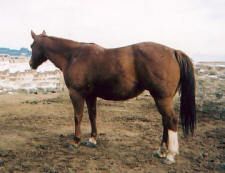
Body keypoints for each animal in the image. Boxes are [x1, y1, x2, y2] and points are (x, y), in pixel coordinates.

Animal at [29, 30, 195, 164]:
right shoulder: (90, 95)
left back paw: (170, 155)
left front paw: (76, 141)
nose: (31, 64)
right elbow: (92, 115)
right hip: (162, 99)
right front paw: (92, 140)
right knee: (165, 121)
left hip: (162, 99)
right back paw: (161, 151)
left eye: (32, 46)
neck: (73, 55)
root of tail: (173, 51)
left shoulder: (76, 93)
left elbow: (78, 116)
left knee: (171, 120)